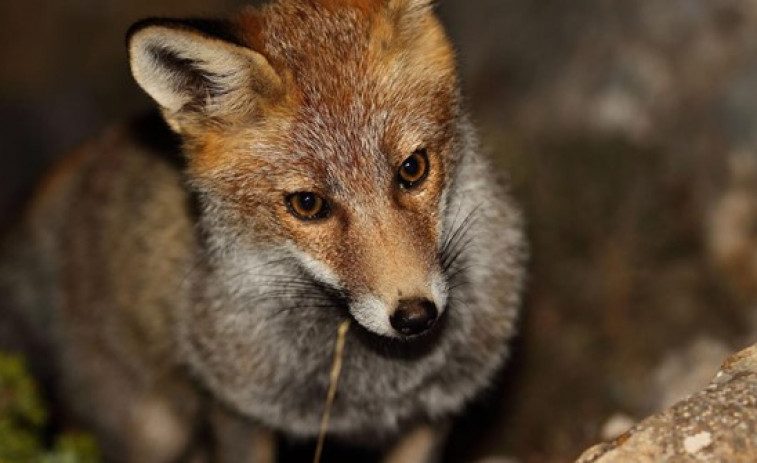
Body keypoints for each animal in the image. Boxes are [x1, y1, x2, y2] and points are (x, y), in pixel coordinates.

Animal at [0, 0, 524, 463]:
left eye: (413, 169)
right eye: (308, 204)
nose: (415, 316)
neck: (376, 386)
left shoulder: (437, 412)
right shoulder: (236, 412)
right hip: (152, 431)